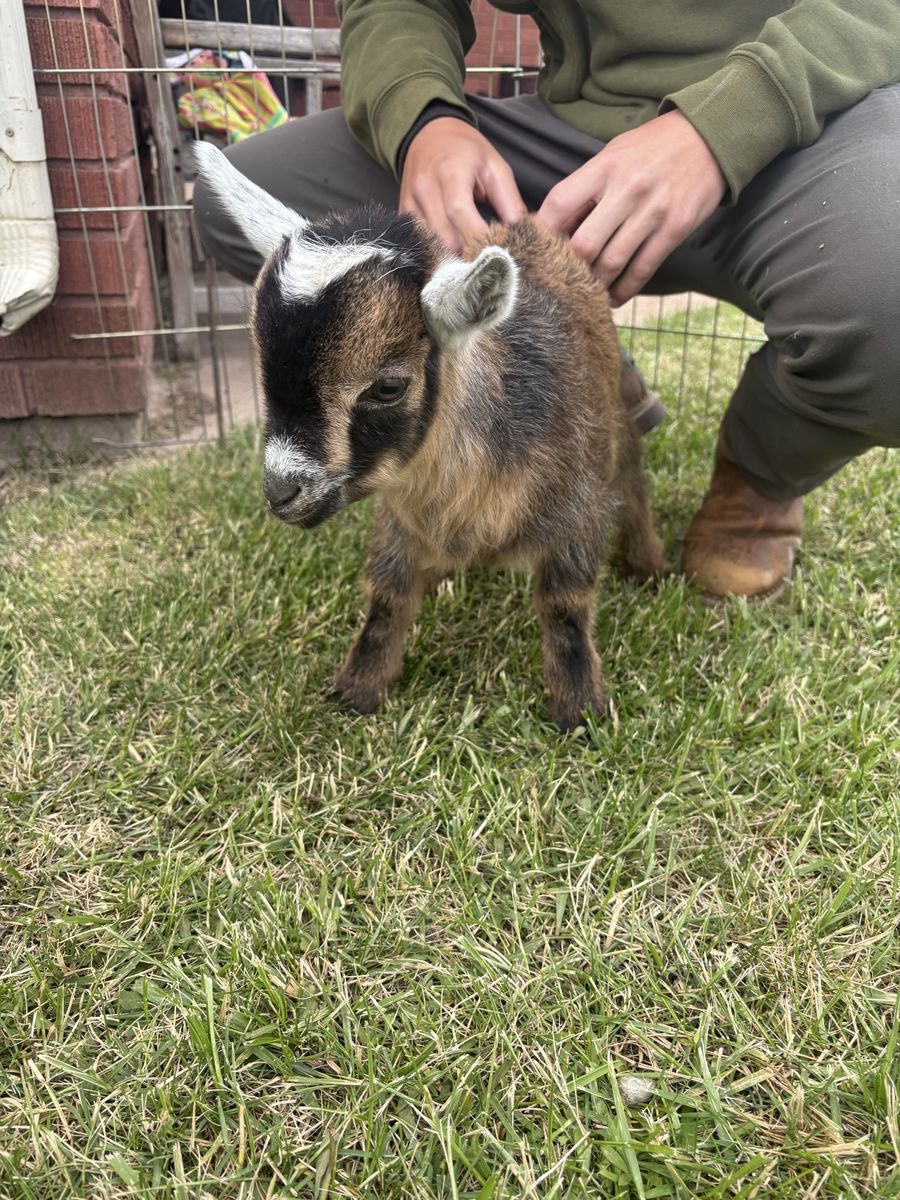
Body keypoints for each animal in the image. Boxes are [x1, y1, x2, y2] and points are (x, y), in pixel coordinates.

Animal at [195, 142, 666, 731]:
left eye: (388, 386)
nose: (281, 491)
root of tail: (530, 227)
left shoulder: (576, 513)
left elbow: (565, 608)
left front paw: (580, 711)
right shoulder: (399, 524)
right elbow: (386, 599)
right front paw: (358, 688)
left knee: (634, 482)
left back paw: (649, 566)